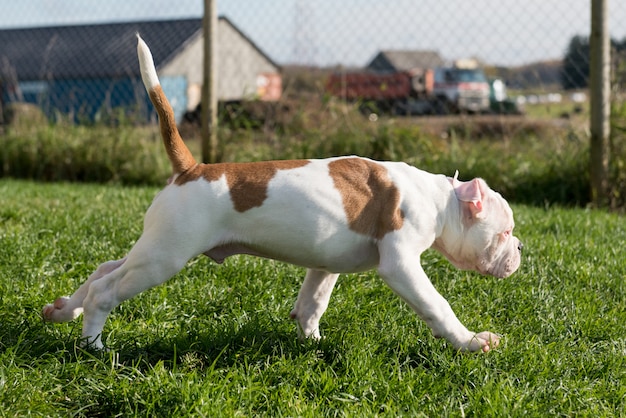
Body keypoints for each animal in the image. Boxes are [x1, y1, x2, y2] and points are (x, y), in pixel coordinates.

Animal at [44, 35, 520, 352]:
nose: (519, 248)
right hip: (165, 256)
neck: (439, 199)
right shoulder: (401, 264)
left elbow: (313, 300)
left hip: (153, 247)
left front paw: (311, 340)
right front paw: (472, 341)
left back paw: (64, 310)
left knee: (104, 269)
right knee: (107, 290)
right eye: (504, 231)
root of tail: (192, 168)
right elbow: (437, 305)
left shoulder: (325, 263)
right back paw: (93, 344)